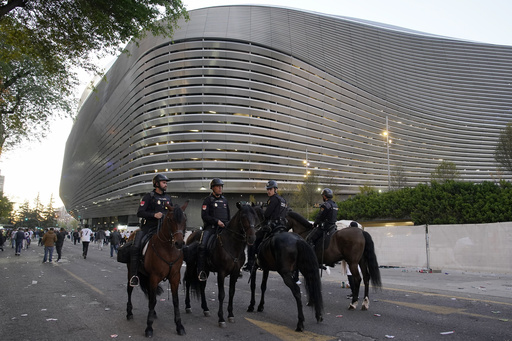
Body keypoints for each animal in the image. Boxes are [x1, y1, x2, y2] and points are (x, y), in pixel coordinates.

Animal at [125, 201, 189, 336]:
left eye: (185, 219)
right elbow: (153, 300)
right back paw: (129, 312)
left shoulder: (174, 277)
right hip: (131, 271)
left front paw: (179, 326)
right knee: (130, 289)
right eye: (170, 219)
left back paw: (152, 312)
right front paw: (149, 327)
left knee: (150, 294)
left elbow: (175, 301)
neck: (168, 249)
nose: (179, 243)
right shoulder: (154, 277)